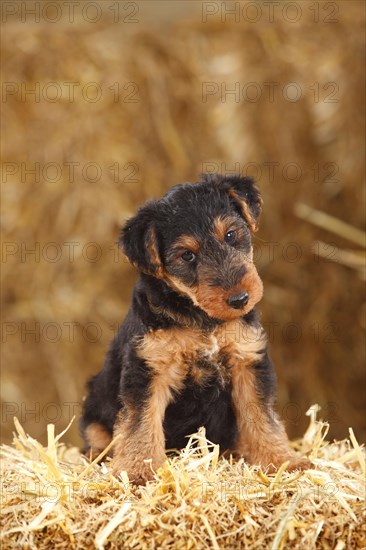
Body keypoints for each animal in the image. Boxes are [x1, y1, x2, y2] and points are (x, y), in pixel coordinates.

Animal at [81, 175, 312, 486]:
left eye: (230, 234)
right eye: (187, 255)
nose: (240, 299)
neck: (204, 319)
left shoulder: (247, 361)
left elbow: (262, 418)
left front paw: (283, 461)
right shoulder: (148, 368)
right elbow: (140, 425)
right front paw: (138, 472)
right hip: (95, 401)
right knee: (97, 435)